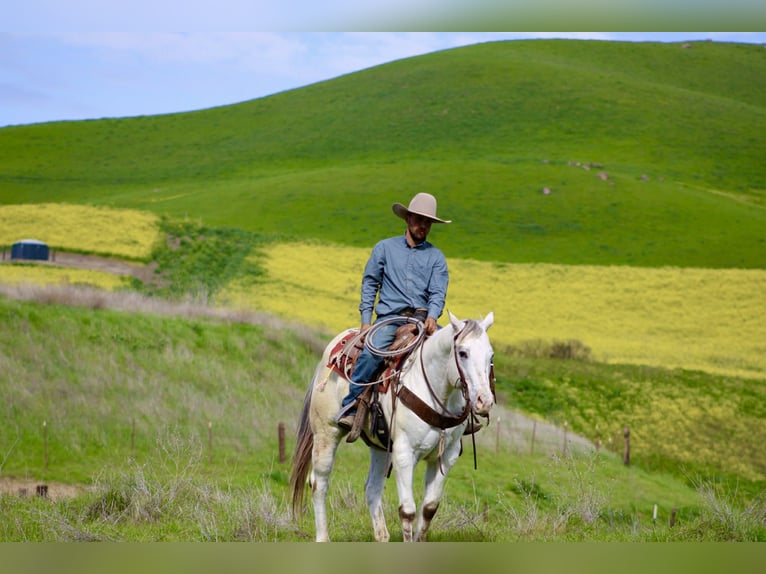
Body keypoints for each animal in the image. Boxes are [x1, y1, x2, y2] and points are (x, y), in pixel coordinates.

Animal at [289, 311, 495, 542]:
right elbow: (407, 511)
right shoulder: (404, 454)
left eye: (490, 356)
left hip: (380, 446)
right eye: (462, 353)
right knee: (319, 482)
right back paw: (323, 536)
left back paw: (382, 536)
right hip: (326, 432)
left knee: (372, 488)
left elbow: (429, 509)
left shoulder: (446, 457)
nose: (484, 401)